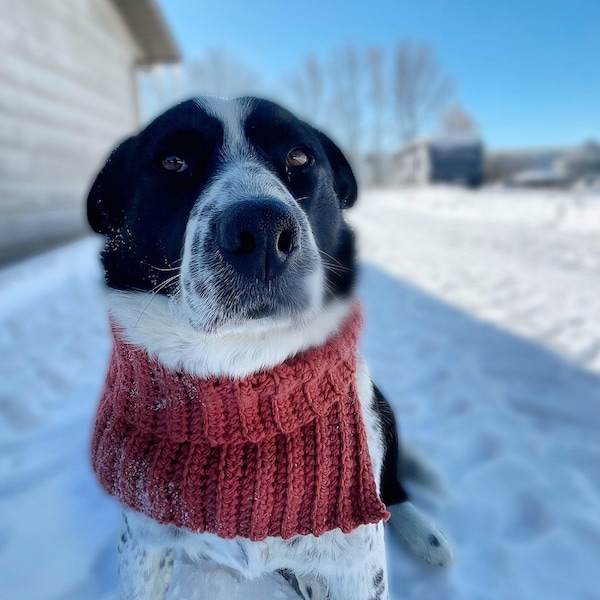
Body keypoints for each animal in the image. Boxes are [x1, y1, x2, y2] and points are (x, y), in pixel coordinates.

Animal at [86, 96, 452, 596]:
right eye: (172, 161)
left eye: (299, 157)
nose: (260, 231)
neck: (243, 366)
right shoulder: (143, 542)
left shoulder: (356, 562)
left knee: (392, 491)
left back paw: (425, 533)